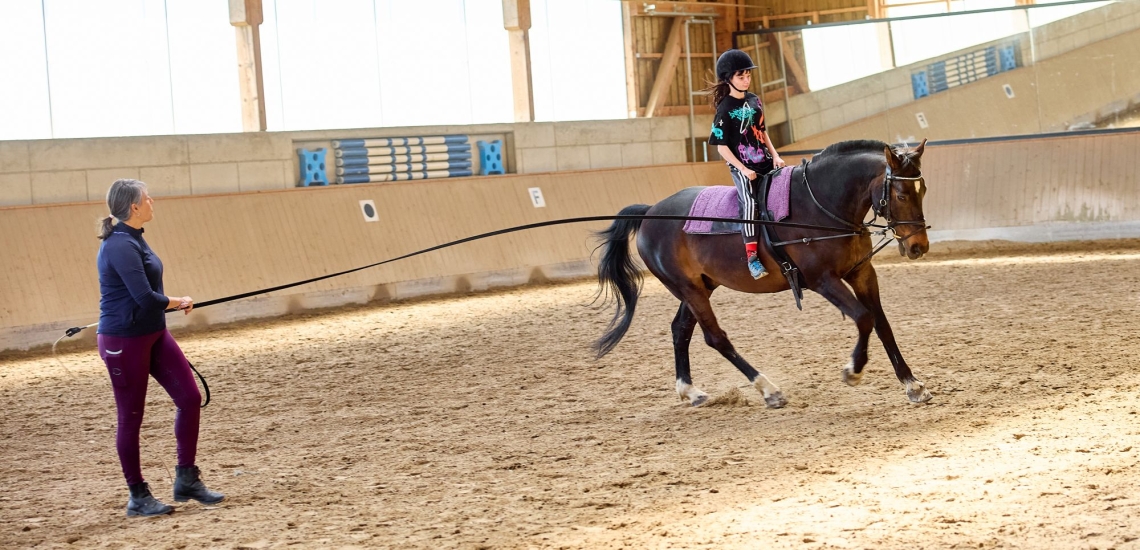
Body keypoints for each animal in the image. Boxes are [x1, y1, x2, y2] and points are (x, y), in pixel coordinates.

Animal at [593, 139, 931, 408]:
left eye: (923, 190)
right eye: (901, 195)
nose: (918, 246)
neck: (820, 206)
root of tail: (649, 213)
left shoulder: (862, 273)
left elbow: (882, 324)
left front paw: (912, 385)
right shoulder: (823, 280)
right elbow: (864, 318)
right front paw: (853, 371)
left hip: (699, 287)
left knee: (680, 330)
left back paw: (691, 392)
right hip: (689, 289)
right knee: (715, 337)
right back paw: (769, 390)